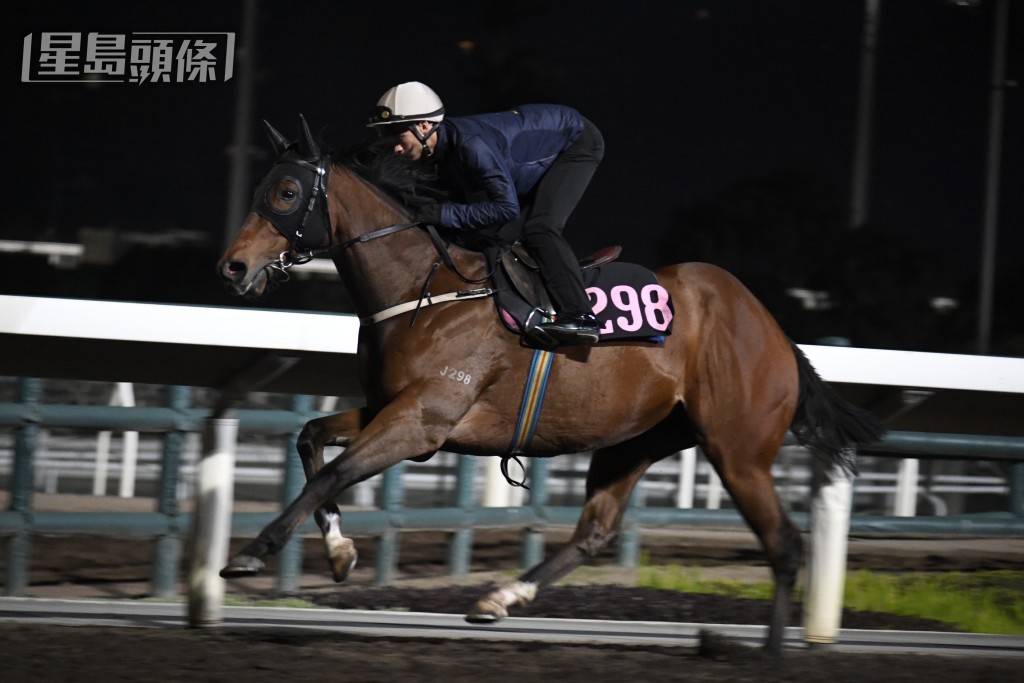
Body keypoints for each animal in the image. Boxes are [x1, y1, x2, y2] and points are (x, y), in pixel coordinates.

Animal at [214, 117, 880, 655]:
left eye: (287, 192)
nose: (233, 267)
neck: (423, 289)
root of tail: (776, 334)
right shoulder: (393, 409)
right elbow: (310, 441)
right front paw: (340, 552)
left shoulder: (422, 421)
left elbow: (331, 471)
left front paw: (250, 553)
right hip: (637, 440)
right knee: (595, 531)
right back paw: (499, 598)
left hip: (737, 448)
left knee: (785, 543)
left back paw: (770, 654)